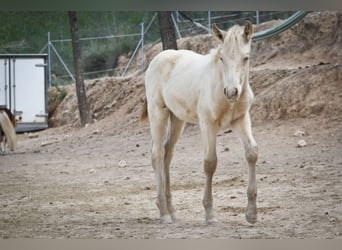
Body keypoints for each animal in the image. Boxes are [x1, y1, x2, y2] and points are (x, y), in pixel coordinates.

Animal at [141, 21, 256, 225]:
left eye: (246, 58)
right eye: (222, 58)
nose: (231, 91)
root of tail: (158, 58)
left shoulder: (240, 119)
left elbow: (252, 153)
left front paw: (251, 213)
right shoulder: (207, 123)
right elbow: (210, 162)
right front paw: (210, 215)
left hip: (177, 118)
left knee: (167, 153)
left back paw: (171, 210)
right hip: (158, 112)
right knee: (157, 153)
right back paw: (164, 212)